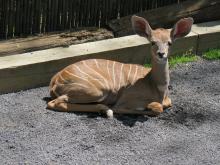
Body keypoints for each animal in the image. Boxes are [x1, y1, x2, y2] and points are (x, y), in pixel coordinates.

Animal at [47, 15, 193, 118]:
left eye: (169, 43)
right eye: (152, 42)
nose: (161, 54)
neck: (156, 87)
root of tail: (54, 81)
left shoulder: (167, 100)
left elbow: (166, 104)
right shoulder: (125, 99)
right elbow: (154, 108)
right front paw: (148, 107)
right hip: (98, 90)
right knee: (54, 102)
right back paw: (105, 110)